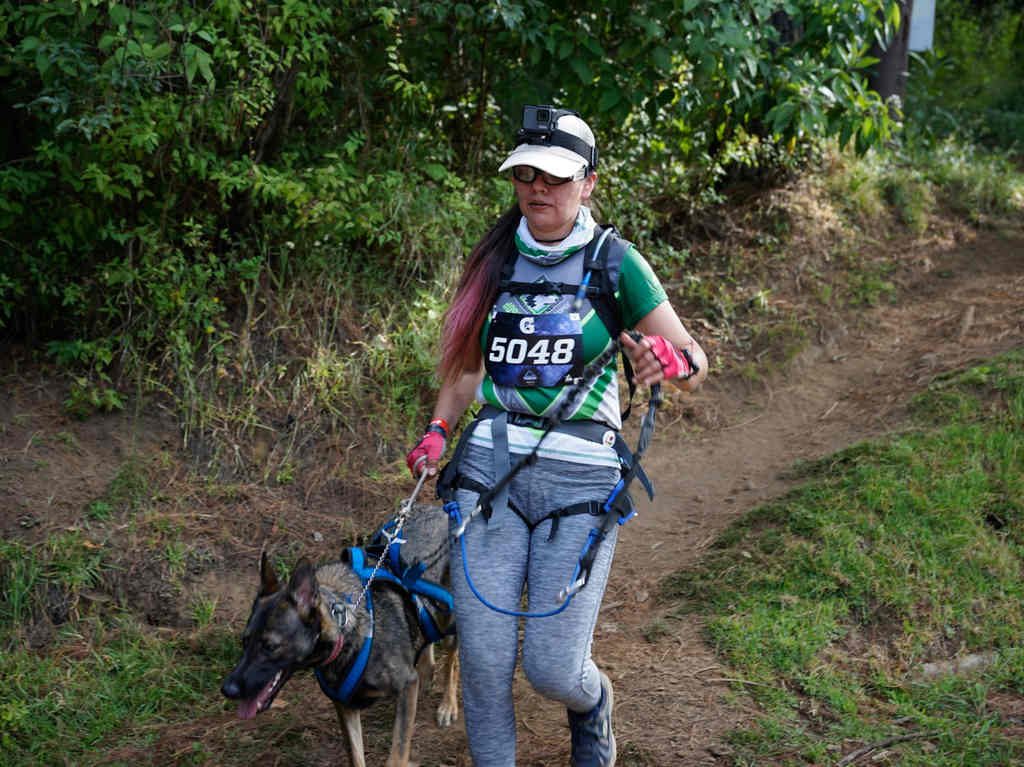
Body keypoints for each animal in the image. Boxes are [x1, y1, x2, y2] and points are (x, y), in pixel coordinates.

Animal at [226, 501, 462, 765]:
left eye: (270, 646)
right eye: (244, 642)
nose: (228, 689)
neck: (346, 629)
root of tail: (439, 509)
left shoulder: (405, 685)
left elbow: (397, 754)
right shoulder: (345, 707)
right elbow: (355, 756)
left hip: (452, 623)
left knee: (453, 661)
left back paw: (448, 705)